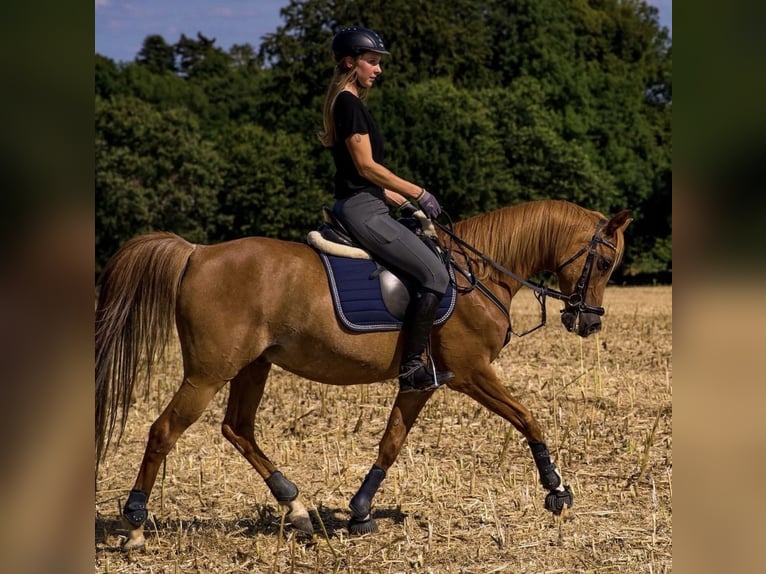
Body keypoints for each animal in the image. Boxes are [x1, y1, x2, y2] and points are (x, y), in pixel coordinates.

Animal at [96, 200, 632, 552]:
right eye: (605, 261)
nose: (589, 322)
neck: (476, 276)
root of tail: (197, 252)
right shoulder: (472, 373)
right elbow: (527, 419)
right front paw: (556, 490)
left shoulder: (424, 381)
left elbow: (391, 442)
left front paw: (360, 512)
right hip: (208, 373)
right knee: (164, 430)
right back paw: (135, 525)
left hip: (253, 366)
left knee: (238, 429)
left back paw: (295, 508)